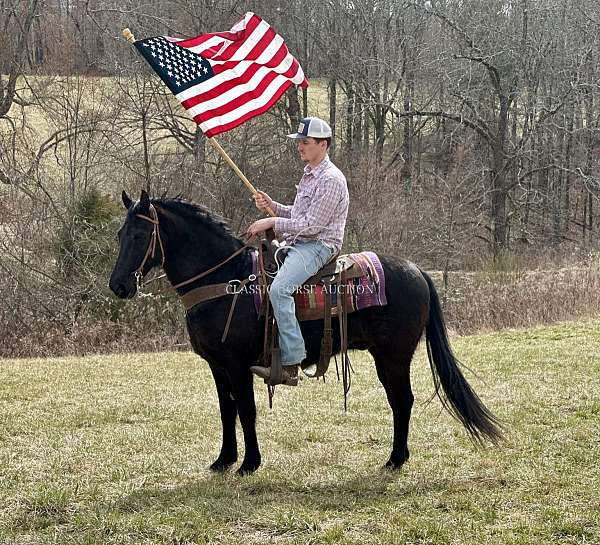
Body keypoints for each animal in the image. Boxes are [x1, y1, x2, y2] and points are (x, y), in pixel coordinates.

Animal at [109, 189, 502, 474]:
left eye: (141, 234)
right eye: (120, 234)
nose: (118, 285)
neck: (225, 280)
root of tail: (417, 271)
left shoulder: (237, 365)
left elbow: (246, 410)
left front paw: (249, 464)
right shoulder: (217, 366)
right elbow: (227, 410)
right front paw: (224, 461)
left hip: (393, 356)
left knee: (402, 401)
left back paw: (394, 460)